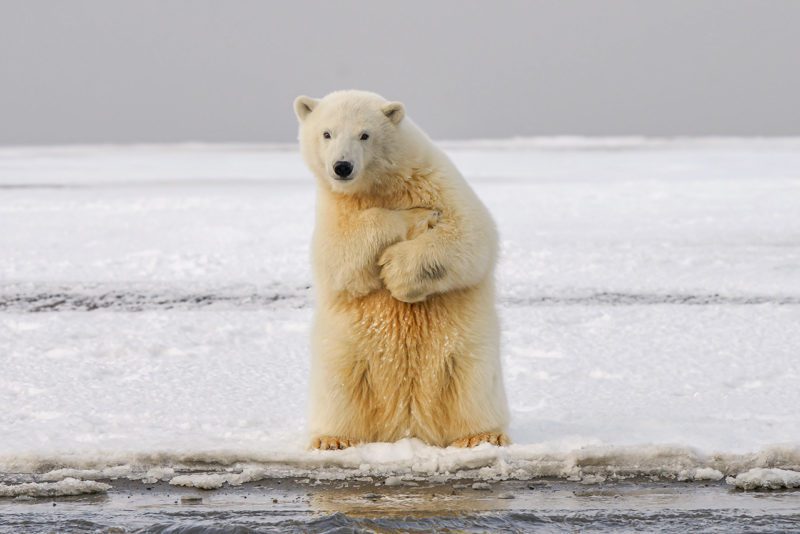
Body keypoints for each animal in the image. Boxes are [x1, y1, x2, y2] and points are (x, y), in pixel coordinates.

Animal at [293, 90, 510, 450]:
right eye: (327, 133)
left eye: (365, 134)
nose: (342, 167)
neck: (382, 184)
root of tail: (408, 424)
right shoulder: (335, 209)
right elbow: (338, 256)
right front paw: (414, 217)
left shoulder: (437, 181)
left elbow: (470, 235)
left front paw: (397, 272)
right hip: (346, 353)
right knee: (340, 387)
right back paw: (333, 439)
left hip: (466, 351)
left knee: (472, 384)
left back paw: (482, 435)